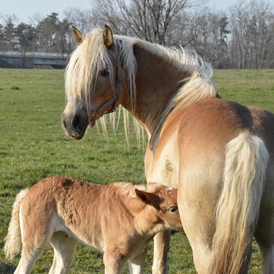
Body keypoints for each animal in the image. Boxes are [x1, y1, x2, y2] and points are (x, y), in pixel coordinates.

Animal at [61, 25, 274, 274]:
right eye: (75, 69)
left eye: (104, 71)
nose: (71, 121)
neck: (176, 103)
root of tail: (247, 136)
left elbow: (160, 263)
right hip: (267, 240)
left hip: (205, 246)